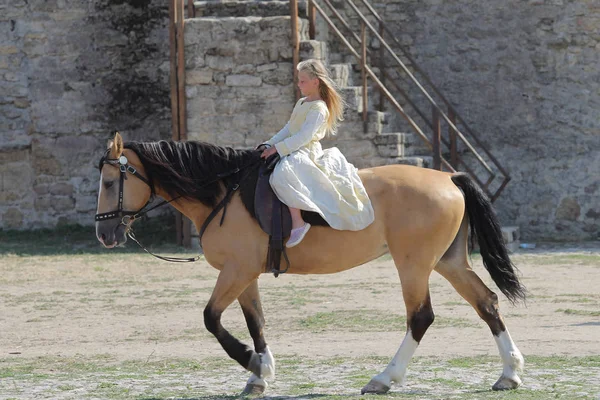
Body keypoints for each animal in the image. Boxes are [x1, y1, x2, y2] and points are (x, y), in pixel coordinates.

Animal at [95, 133, 524, 396]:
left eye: (110, 183)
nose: (104, 233)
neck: (224, 194)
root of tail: (449, 177)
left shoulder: (236, 272)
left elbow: (212, 319)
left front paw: (252, 362)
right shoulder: (245, 273)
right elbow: (255, 321)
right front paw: (259, 375)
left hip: (414, 265)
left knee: (421, 317)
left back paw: (384, 378)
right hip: (447, 262)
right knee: (486, 303)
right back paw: (509, 373)